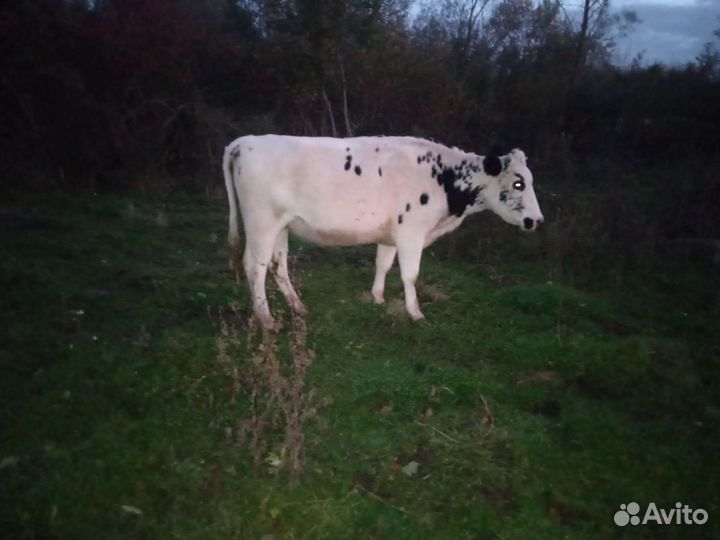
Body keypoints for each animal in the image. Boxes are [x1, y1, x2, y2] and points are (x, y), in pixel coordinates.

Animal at [223, 135, 543, 329]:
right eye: (518, 183)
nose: (536, 220)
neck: (444, 180)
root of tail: (244, 142)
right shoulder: (412, 232)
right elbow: (410, 274)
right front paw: (415, 312)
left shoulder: (391, 234)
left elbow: (383, 264)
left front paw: (377, 297)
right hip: (261, 222)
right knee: (254, 266)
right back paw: (266, 319)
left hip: (281, 225)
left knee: (278, 264)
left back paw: (298, 307)